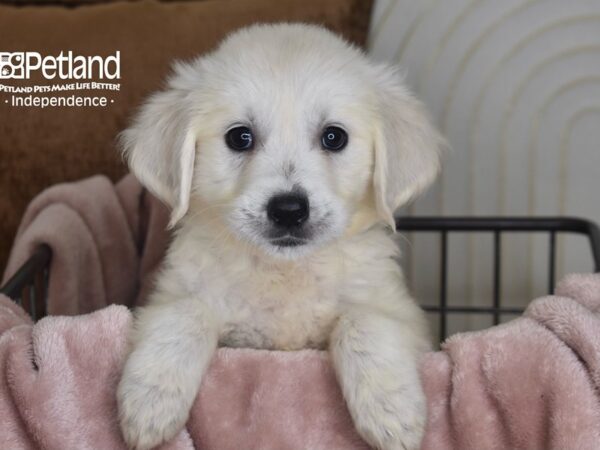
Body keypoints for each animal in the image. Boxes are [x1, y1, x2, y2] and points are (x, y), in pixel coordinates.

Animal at [117, 22, 442, 448]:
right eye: (240, 137)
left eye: (334, 137)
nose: (289, 210)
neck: (285, 273)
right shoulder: (170, 297)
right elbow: (185, 312)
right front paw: (150, 401)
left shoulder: (403, 314)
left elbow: (362, 321)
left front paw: (392, 411)